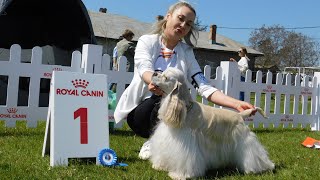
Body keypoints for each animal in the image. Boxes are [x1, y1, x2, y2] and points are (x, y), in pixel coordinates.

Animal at [148, 68, 276, 180]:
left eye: (165, 77)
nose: (154, 73)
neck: (186, 108)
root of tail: (240, 115)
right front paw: (160, 166)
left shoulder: (186, 144)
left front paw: (179, 175)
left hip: (244, 140)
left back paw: (260, 168)